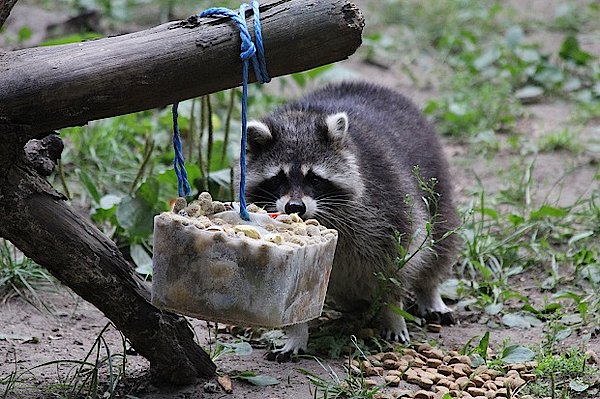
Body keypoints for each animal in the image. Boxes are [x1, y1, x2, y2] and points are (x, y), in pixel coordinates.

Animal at [239, 82, 460, 362]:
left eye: (314, 179)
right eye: (279, 179)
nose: (295, 207)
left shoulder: (388, 203)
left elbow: (399, 263)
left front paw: (393, 312)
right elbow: (304, 294)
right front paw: (297, 333)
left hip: (438, 185)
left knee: (440, 241)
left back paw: (429, 291)